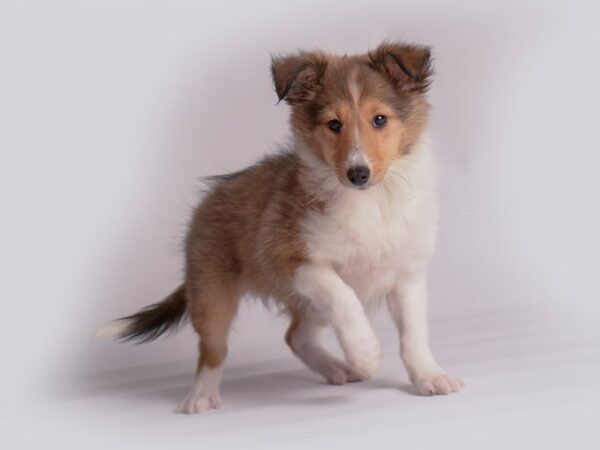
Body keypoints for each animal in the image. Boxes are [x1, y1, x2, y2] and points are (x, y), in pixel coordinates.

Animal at [97, 40, 464, 414]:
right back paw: (200, 397)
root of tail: (209, 199)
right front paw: (366, 354)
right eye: (334, 124)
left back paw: (336, 368)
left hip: (305, 304)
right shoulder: (289, 258)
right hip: (212, 296)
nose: (358, 174)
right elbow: (344, 297)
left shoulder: (407, 274)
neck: (371, 202)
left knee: (296, 336)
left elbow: (414, 334)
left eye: (380, 119)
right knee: (213, 351)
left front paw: (429, 376)